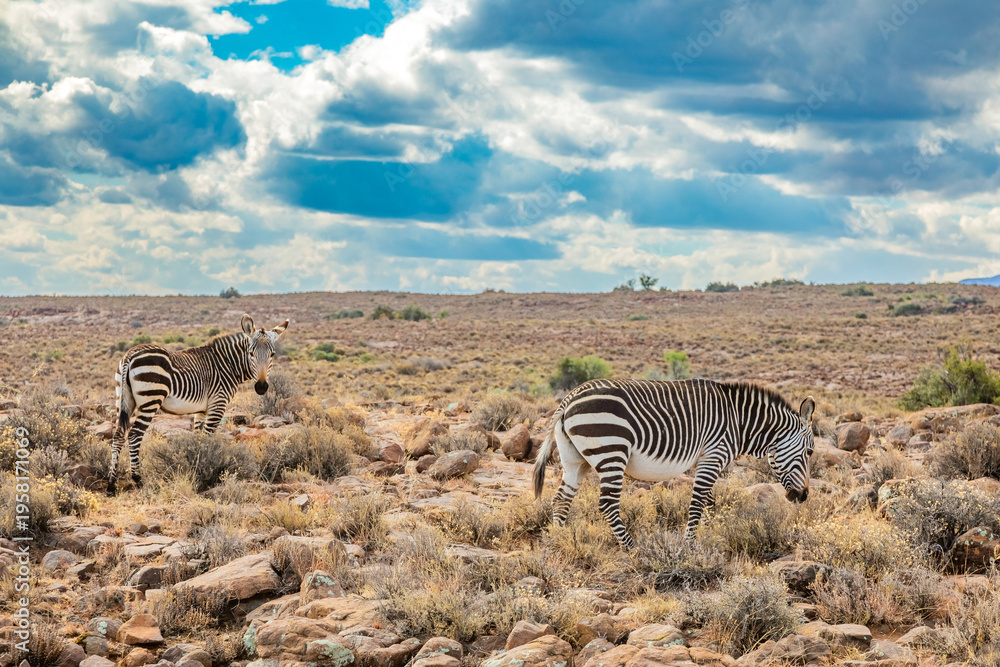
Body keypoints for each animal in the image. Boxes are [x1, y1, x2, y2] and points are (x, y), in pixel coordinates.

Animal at [107, 314, 289, 495]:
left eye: (272, 354)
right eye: (251, 353)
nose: (261, 387)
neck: (227, 365)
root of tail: (129, 355)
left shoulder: (201, 410)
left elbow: (198, 438)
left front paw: (195, 467)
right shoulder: (218, 404)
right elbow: (208, 438)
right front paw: (205, 469)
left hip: (123, 399)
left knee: (118, 435)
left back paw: (111, 484)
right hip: (150, 399)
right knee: (134, 435)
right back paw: (138, 480)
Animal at [533, 378, 815, 549]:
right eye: (810, 452)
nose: (803, 496)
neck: (740, 422)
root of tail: (569, 398)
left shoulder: (705, 460)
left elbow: (708, 501)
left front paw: (710, 535)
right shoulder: (713, 455)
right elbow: (698, 502)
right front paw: (689, 544)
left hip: (574, 459)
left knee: (561, 498)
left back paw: (558, 540)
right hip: (611, 450)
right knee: (607, 504)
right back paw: (632, 548)